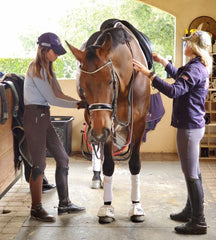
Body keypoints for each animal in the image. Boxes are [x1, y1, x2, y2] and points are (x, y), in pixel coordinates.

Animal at [66, 21, 151, 224]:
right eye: (82, 85)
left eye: (110, 81)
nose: (99, 132)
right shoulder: (103, 123)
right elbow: (108, 165)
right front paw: (107, 207)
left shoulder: (139, 123)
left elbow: (134, 164)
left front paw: (136, 206)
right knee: (98, 151)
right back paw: (98, 178)